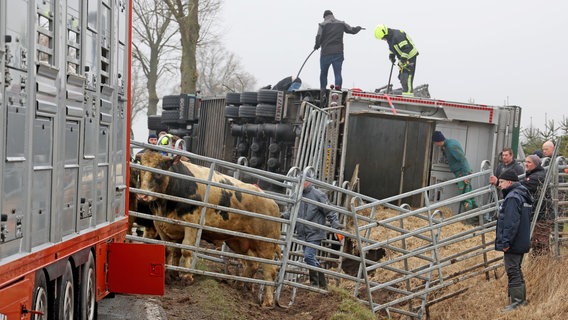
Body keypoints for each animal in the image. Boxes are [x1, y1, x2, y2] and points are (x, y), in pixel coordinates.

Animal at [136, 151, 282, 306]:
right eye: (142, 167)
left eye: (159, 172)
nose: (142, 195)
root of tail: (273, 204)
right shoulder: (160, 224)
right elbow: (170, 251)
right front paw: (171, 275)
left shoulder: (191, 223)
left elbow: (186, 250)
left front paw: (187, 277)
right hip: (240, 241)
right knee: (252, 264)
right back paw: (238, 285)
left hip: (265, 245)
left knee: (270, 270)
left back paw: (267, 302)